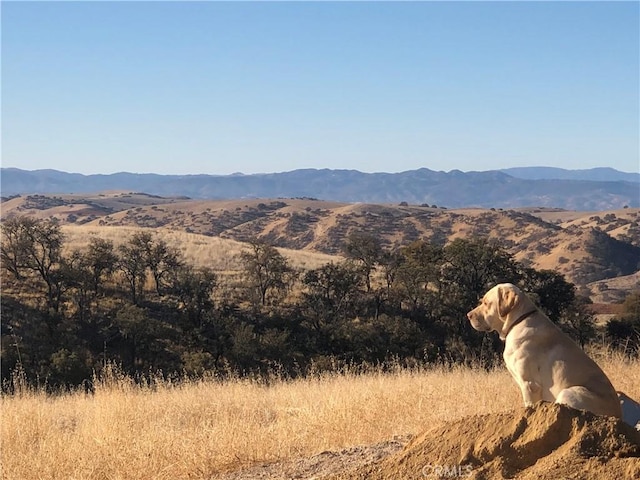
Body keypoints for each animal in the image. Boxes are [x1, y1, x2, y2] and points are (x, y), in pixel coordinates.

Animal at [464, 284, 620, 418]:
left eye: (486, 303)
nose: (468, 315)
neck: (518, 321)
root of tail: (618, 415)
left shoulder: (530, 384)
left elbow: (529, 406)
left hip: (568, 392)